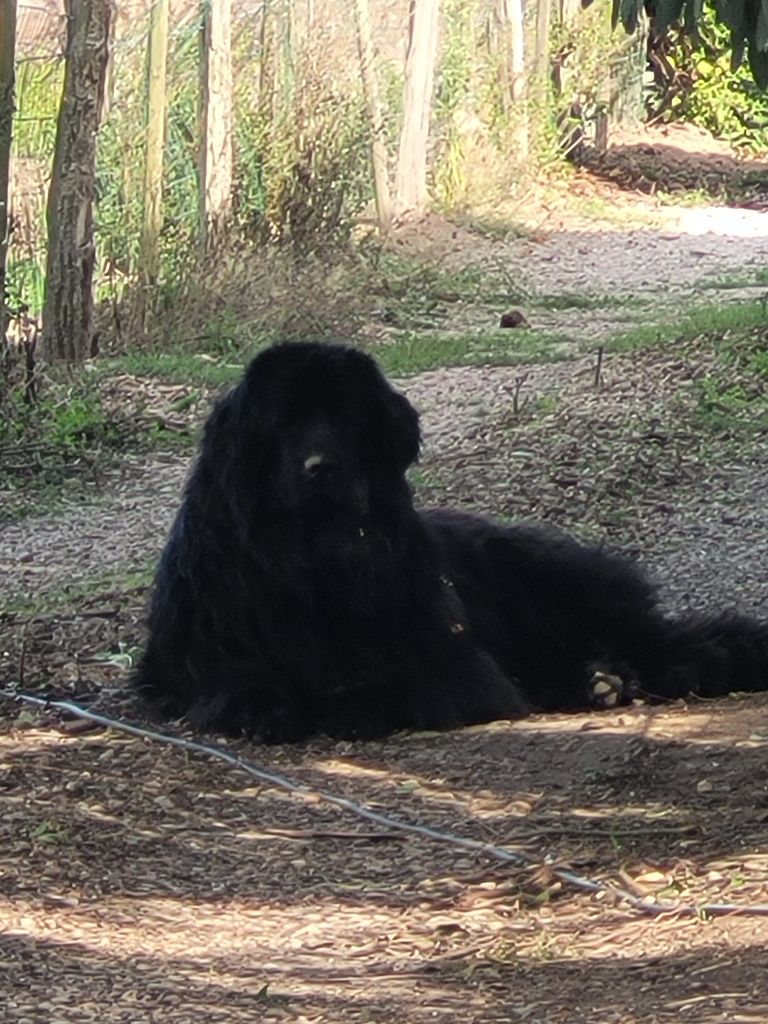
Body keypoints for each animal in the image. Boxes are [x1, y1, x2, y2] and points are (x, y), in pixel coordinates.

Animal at [137, 339, 768, 741]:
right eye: (284, 424)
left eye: (345, 421)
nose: (321, 468)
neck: (314, 562)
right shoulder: (199, 652)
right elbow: (235, 678)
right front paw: (266, 708)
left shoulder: (449, 661)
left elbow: (400, 679)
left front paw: (353, 705)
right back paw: (603, 681)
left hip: (557, 587)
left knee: (665, 638)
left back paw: (689, 665)